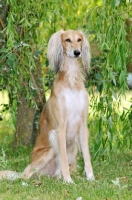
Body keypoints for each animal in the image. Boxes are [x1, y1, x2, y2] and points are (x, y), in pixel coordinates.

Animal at [0, 30, 95, 183]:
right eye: (67, 40)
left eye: (79, 39)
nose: (77, 52)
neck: (71, 81)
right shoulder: (60, 127)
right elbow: (63, 158)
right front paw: (68, 181)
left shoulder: (82, 124)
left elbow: (87, 156)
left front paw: (91, 177)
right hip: (49, 149)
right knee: (25, 175)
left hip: (72, 148)